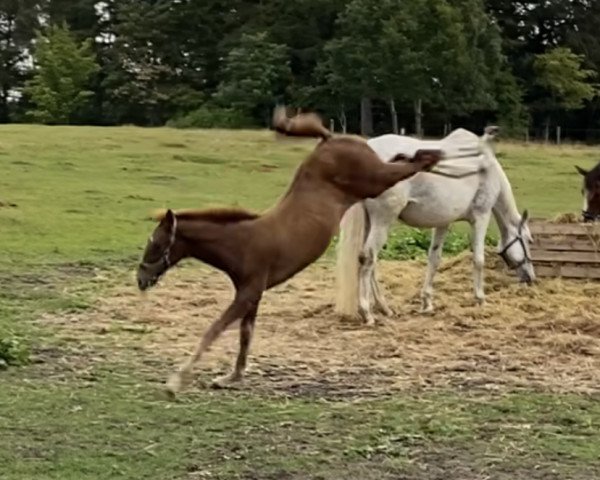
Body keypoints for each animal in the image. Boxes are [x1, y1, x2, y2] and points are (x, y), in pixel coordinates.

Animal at [138, 107, 442, 396]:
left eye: (155, 244)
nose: (140, 280)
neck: (241, 242)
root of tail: (330, 138)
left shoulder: (247, 294)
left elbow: (214, 330)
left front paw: (177, 381)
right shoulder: (252, 295)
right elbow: (245, 335)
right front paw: (232, 377)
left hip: (374, 180)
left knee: (406, 167)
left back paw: (433, 154)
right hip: (373, 182)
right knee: (400, 162)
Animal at [336, 126, 536, 326]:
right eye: (528, 240)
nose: (531, 278)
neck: (486, 166)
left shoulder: (443, 222)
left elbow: (434, 259)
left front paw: (427, 303)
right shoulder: (481, 216)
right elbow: (479, 259)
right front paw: (480, 299)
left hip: (371, 223)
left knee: (371, 263)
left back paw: (384, 308)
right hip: (383, 220)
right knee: (368, 258)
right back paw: (367, 312)